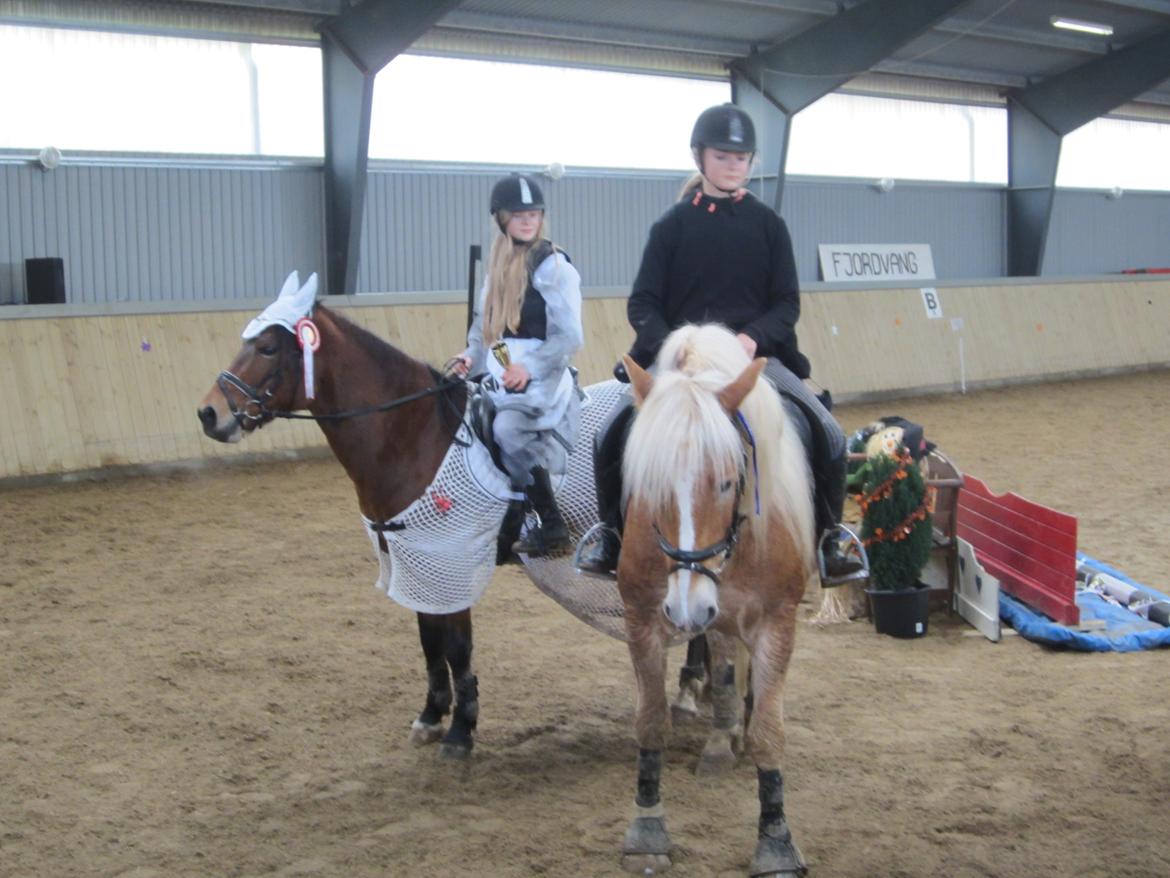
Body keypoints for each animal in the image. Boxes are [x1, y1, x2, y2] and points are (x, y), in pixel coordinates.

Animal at [196, 273, 479, 758]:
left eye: (267, 347)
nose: (208, 413)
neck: (417, 433)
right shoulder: (412, 556)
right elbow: (429, 638)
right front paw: (431, 715)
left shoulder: (448, 559)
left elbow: (457, 645)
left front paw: (461, 731)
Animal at [617, 325, 819, 878]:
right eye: (651, 482)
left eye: (729, 480)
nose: (687, 608)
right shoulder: (642, 616)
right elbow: (650, 721)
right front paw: (647, 830)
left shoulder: (776, 622)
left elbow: (770, 733)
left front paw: (776, 844)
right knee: (725, 657)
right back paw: (720, 738)